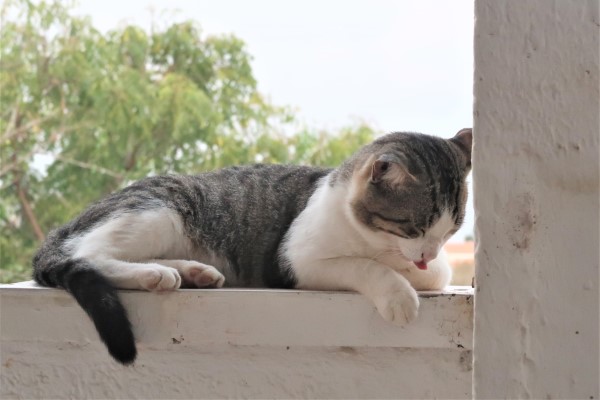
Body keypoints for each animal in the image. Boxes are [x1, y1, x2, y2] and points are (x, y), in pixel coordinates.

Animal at [32, 128, 472, 365]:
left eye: (449, 231)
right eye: (413, 227)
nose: (428, 252)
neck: (368, 236)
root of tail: (61, 228)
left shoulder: (433, 266)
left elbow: (436, 275)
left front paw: (414, 272)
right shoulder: (295, 259)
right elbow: (362, 266)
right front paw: (397, 293)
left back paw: (192, 272)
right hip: (161, 209)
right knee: (88, 254)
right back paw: (155, 275)